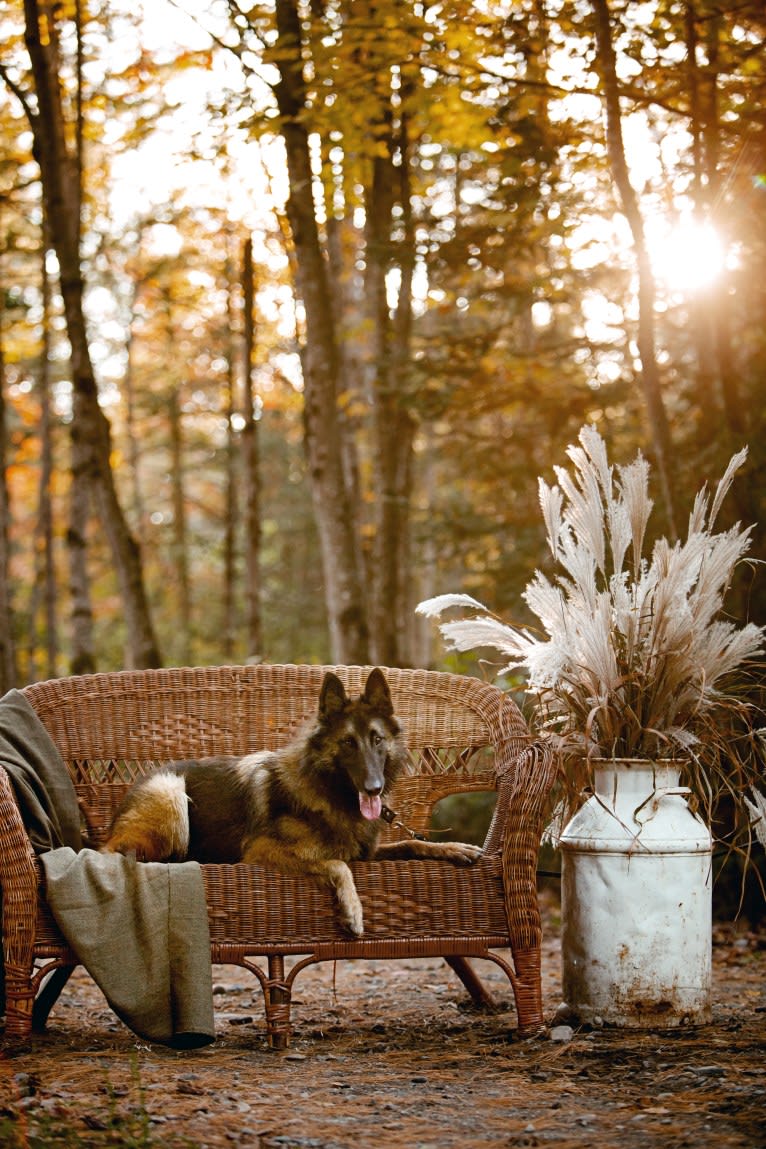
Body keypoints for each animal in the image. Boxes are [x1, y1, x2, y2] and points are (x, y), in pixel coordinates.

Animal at [101, 671, 480, 937]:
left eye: (377, 740)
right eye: (348, 743)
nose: (374, 788)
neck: (329, 793)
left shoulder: (366, 854)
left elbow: (410, 843)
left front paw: (453, 848)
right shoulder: (263, 851)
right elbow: (336, 865)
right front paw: (353, 910)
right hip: (172, 794)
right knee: (125, 855)